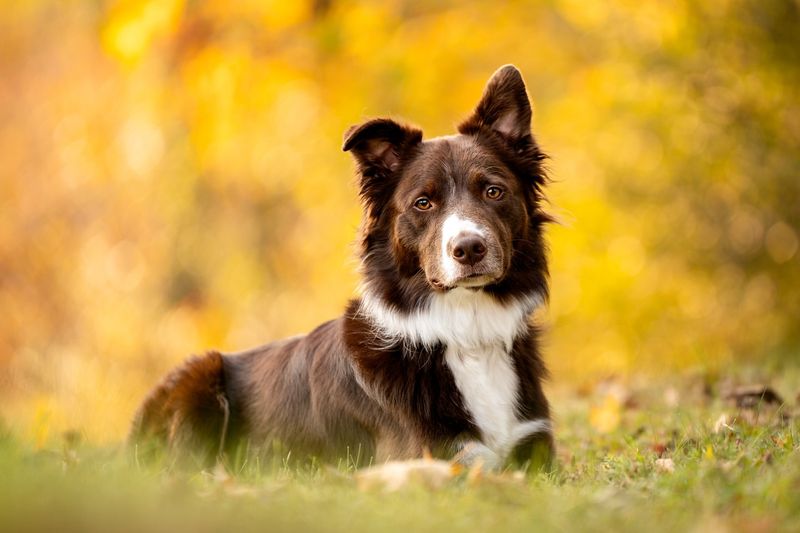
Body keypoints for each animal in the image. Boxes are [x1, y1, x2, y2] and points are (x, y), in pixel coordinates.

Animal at [131, 65, 556, 470]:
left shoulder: (537, 448)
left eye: (493, 191)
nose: (468, 248)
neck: (467, 334)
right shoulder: (433, 456)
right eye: (423, 202)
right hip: (200, 374)